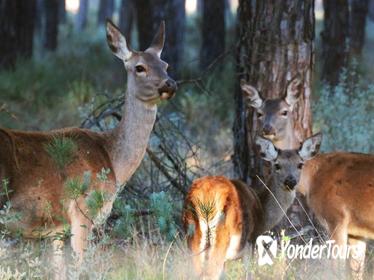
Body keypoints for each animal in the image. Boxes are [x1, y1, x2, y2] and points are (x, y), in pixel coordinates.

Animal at [0, 20, 177, 278]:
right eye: (140, 67)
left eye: (165, 65)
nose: (170, 83)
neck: (112, 160)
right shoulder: (83, 210)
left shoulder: (56, 230)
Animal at [182, 133, 322, 278]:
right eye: (277, 165)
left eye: (300, 164)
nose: (290, 181)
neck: (262, 214)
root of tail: (205, 197)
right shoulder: (251, 241)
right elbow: (248, 273)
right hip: (223, 238)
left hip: (192, 236)